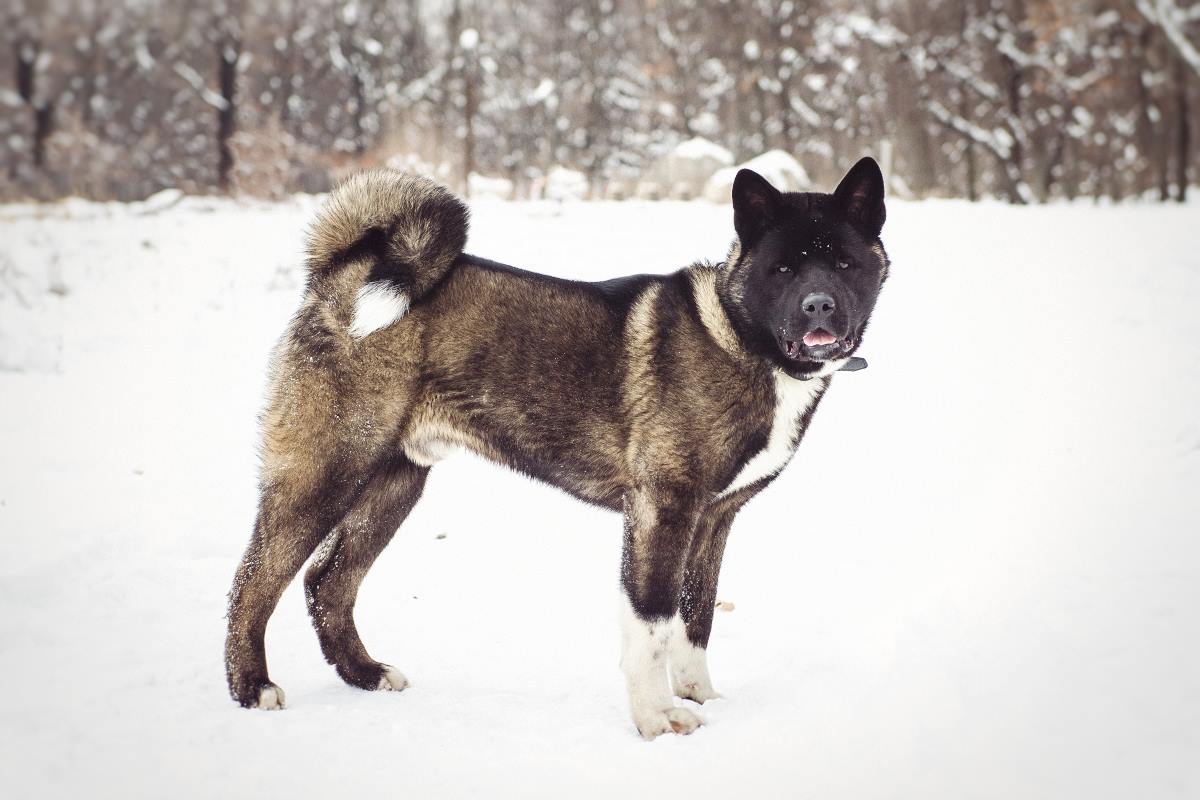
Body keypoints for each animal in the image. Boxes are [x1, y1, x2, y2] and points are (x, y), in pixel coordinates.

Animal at [225, 159, 888, 743]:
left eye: (843, 263)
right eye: (783, 269)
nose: (819, 305)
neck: (742, 337)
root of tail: (337, 277)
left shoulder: (715, 518)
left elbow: (695, 619)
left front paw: (699, 696)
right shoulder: (662, 510)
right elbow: (651, 622)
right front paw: (656, 719)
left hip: (394, 484)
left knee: (328, 584)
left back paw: (365, 675)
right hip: (324, 475)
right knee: (253, 584)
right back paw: (251, 687)